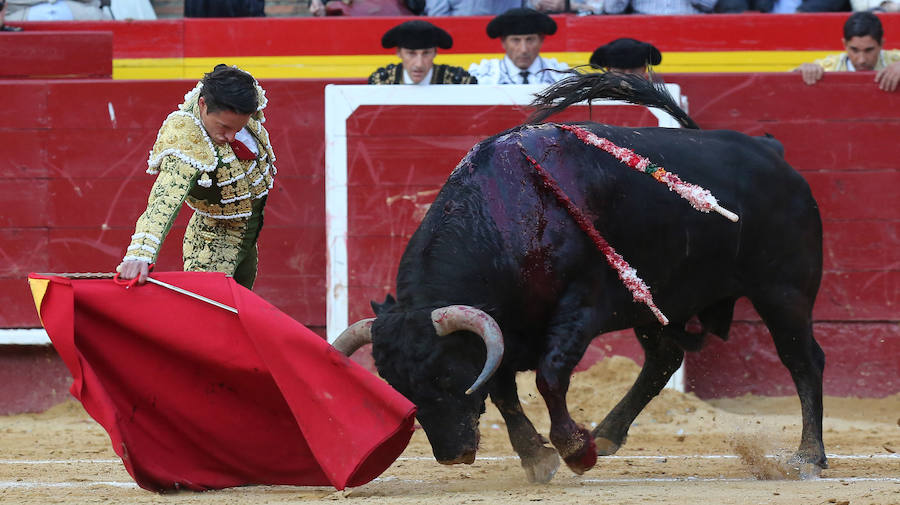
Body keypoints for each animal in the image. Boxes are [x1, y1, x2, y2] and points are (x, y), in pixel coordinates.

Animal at [334, 73, 828, 482]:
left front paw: (575, 450)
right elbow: (502, 390)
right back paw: (608, 433)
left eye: (444, 375)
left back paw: (808, 457)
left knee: (804, 360)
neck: (504, 217)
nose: (452, 455)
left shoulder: (581, 307)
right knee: (663, 359)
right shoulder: (503, 329)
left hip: (784, 293)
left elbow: (548, 377)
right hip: (657, 304)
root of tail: (772, 152)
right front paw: (538, 457)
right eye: (396, 385)